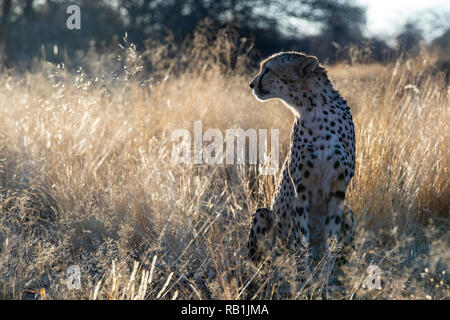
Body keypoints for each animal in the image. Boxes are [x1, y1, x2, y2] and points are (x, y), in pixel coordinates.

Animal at [246, 51, 356, 274]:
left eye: (267, 69)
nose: (251, 84)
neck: (314, 108)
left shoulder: (339, 190)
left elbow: (332, 240)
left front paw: (326, 276)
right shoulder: (301, 190)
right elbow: (301, 240)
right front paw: (305, 277)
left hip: (349, 212)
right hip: (264, 215)